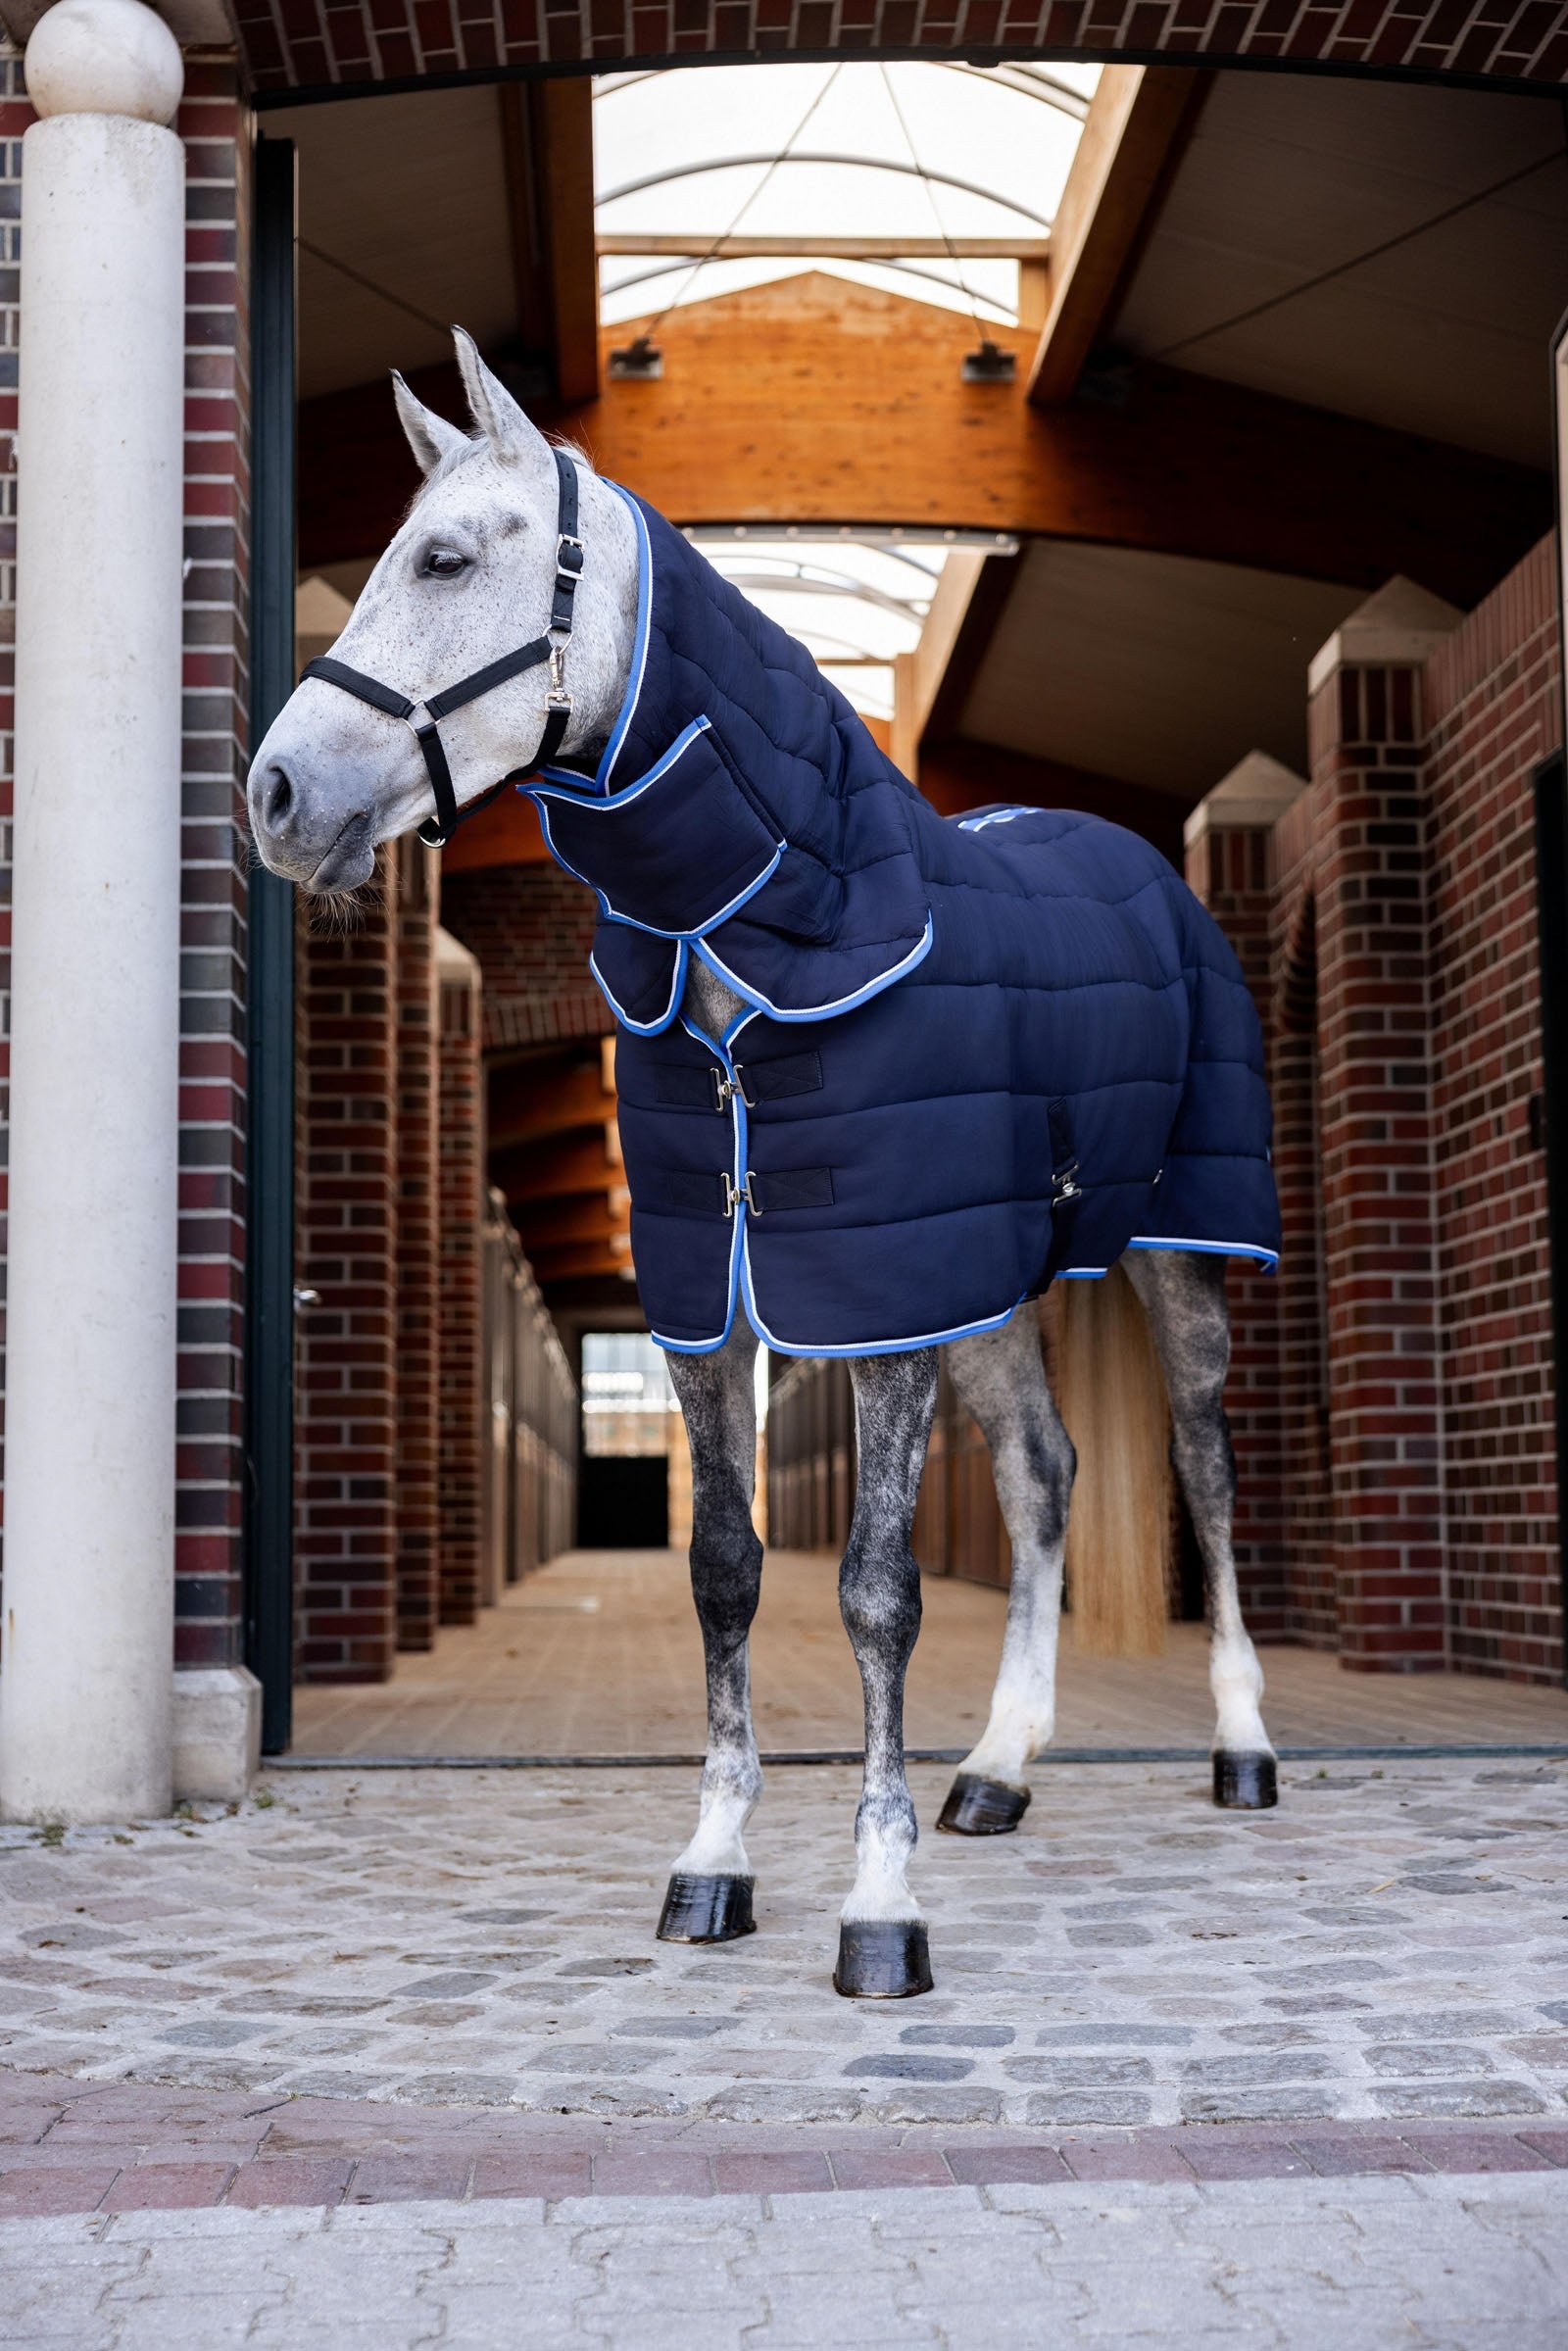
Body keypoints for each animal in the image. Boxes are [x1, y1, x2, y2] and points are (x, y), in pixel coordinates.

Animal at [248, 328, 1281, 2002]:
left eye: (447, 556)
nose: (275, 800)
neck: (761, 936)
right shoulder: (719, 1295)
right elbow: (725, 1567)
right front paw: (715, 1863)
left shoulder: (872, 1303)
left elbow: (874, 1588)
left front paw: (880, 1905)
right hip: (990, 1280)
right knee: (1046, 1472)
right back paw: (999, 1768)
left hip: (1181, 1245)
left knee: (1205, 1463)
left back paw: (1244, 1747)